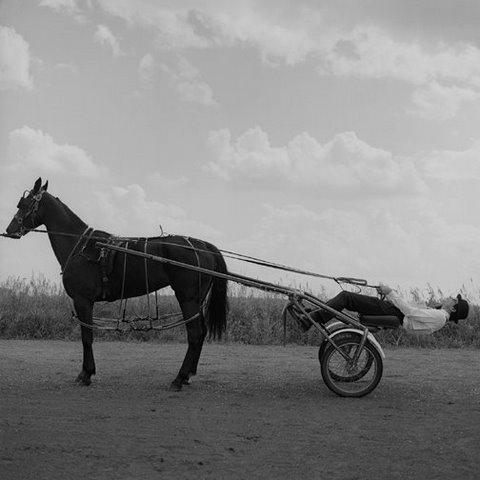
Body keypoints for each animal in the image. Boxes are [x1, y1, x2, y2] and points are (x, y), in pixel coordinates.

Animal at [3, 177, 229, 390]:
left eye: (24, 204)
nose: (9, 230)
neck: (81, 245)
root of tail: (203, 246)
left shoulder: (83, 300)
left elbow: (87, 337)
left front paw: (86, 374)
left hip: (187, 298)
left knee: (195, 334)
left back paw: (179, 378)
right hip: (196, 300)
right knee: (201, 333)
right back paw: (188, 375)